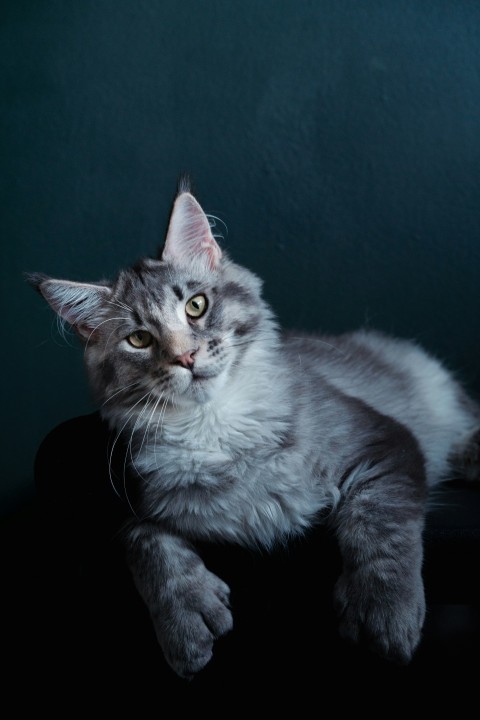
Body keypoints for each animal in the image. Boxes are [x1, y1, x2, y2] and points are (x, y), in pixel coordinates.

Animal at [27, 180, 480, 680]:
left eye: (196, 306)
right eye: (139, 339)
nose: (185, 357)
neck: (217, 426)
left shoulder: (383, 439)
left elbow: (381, 527)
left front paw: (384, 613)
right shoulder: (145, 503)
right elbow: (144, 541)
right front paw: (186, 620)